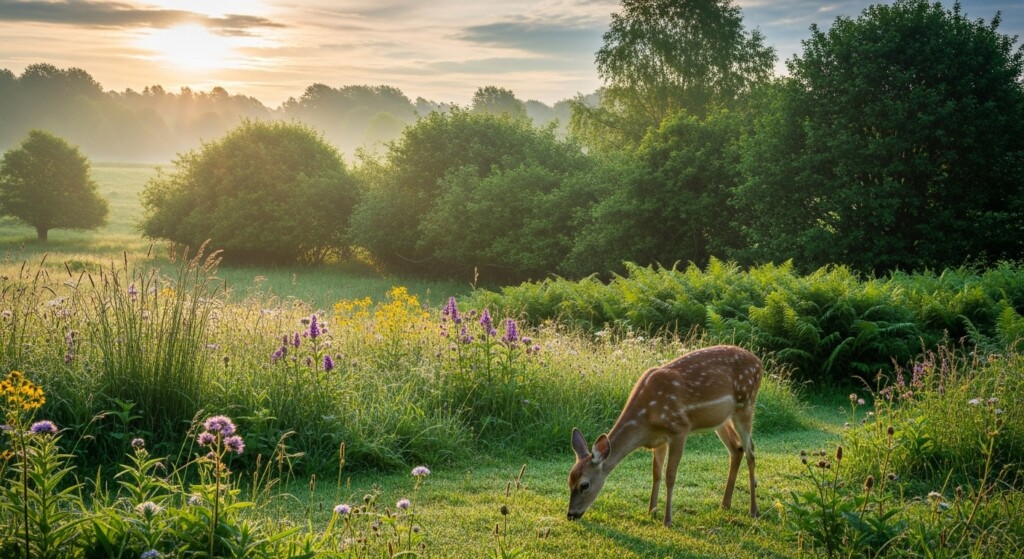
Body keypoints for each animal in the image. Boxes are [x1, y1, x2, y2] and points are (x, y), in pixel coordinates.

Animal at [567, 345, 762, 527]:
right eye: (569, 480)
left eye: (584, 485)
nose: (571, 515)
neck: (646, 419)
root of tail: (759, 362)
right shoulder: (659, 439)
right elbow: (656, 473)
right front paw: (652, 511)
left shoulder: (679, 430)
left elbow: (670, 475)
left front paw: (667, 520)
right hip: (721, 419)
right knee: (737, 449)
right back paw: (725, 504)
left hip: (746, 404)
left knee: (751, 452)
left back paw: (753, 510)